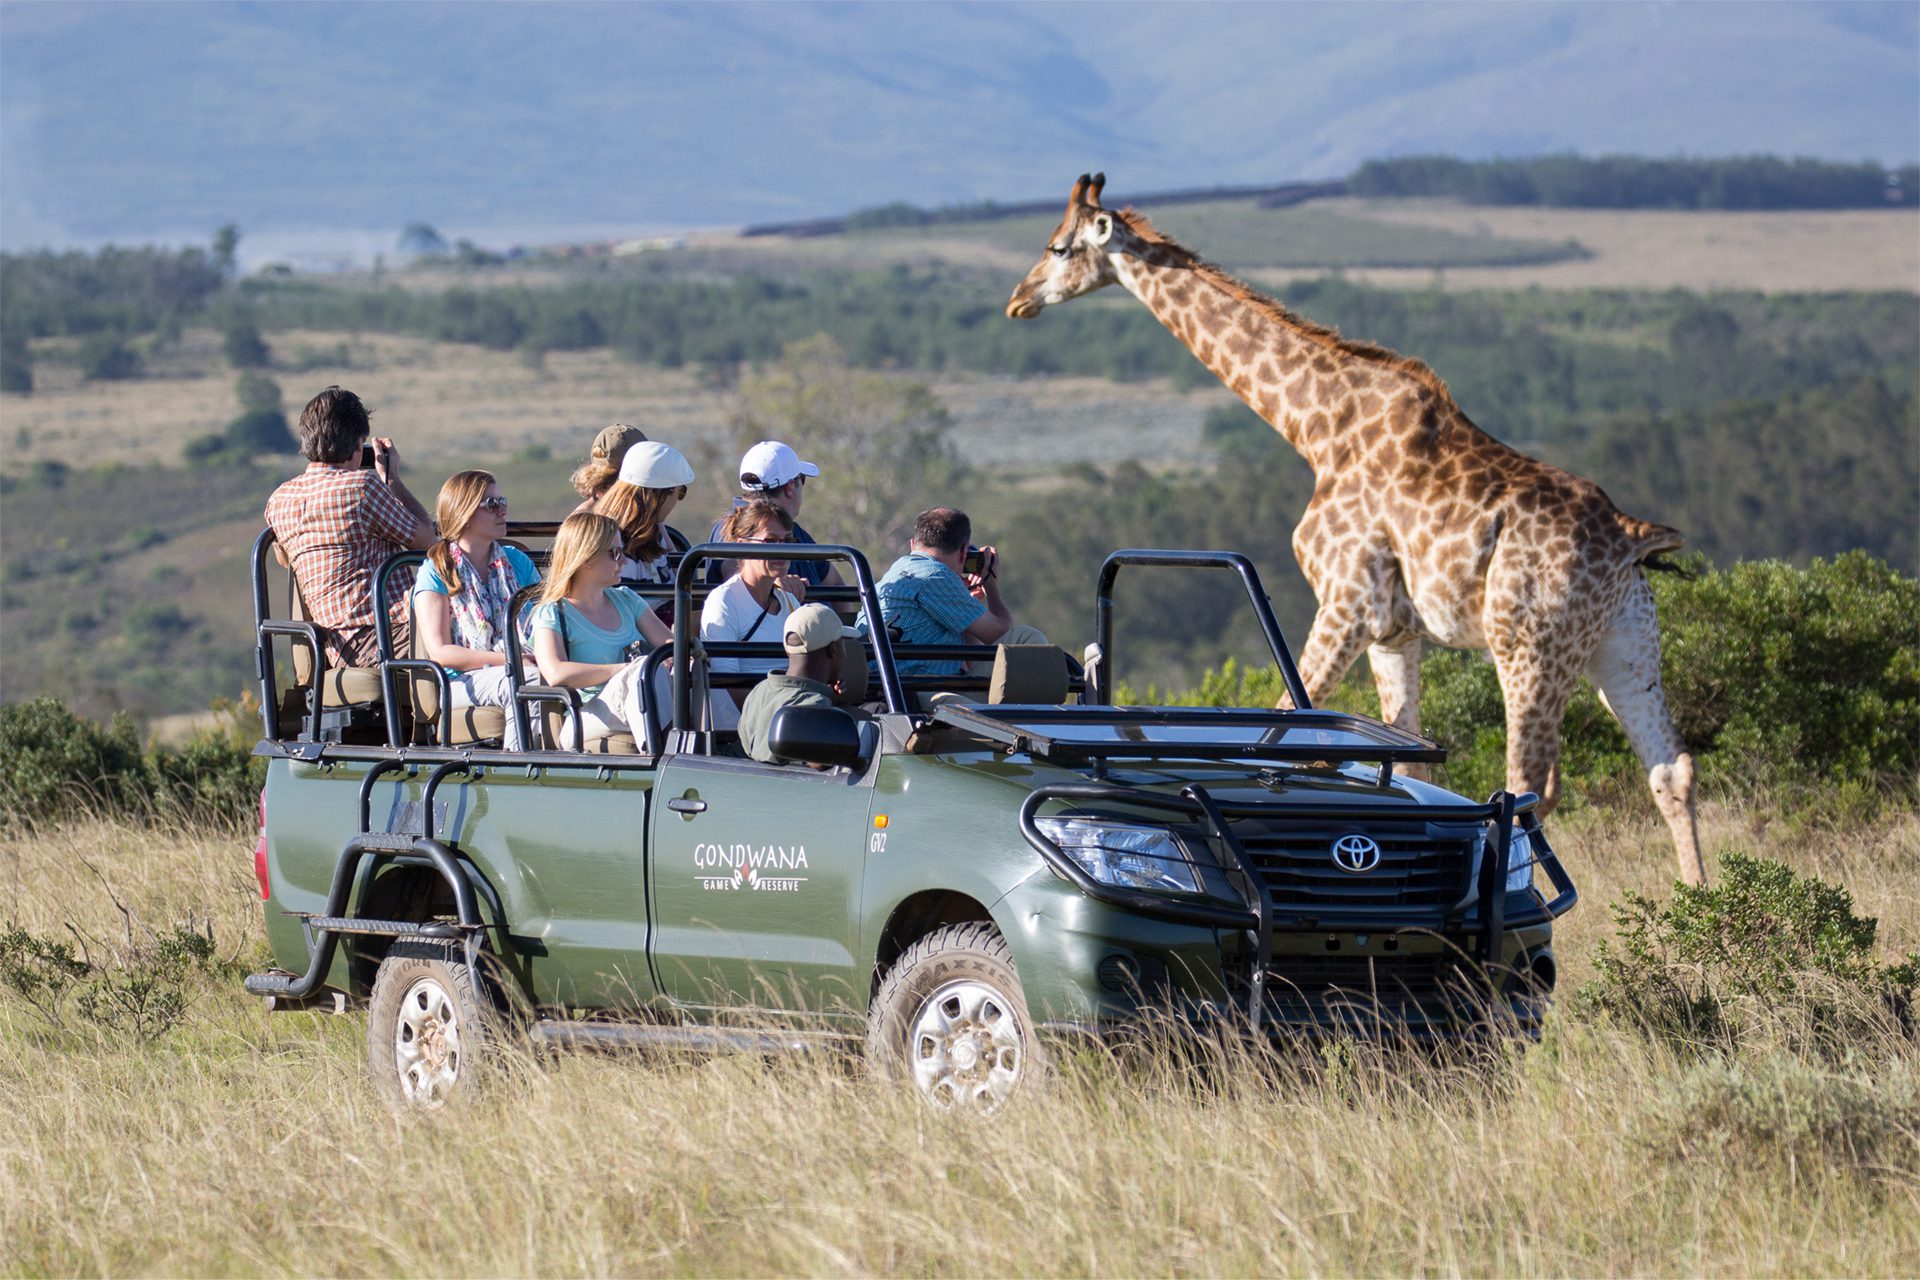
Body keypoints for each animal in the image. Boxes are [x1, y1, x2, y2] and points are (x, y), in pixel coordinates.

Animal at [1013, 175, 1704, 886]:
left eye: (1058, 247)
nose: (1018, 300)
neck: (1317, 427)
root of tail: (1632, 538)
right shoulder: (1395, 630)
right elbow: (1401, 745)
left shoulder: (1346, 600)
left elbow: (1288, 726)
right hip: (1624, 643)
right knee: (1671, 770)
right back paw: (1695, 904)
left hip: (1530, 645)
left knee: (1533, 782)